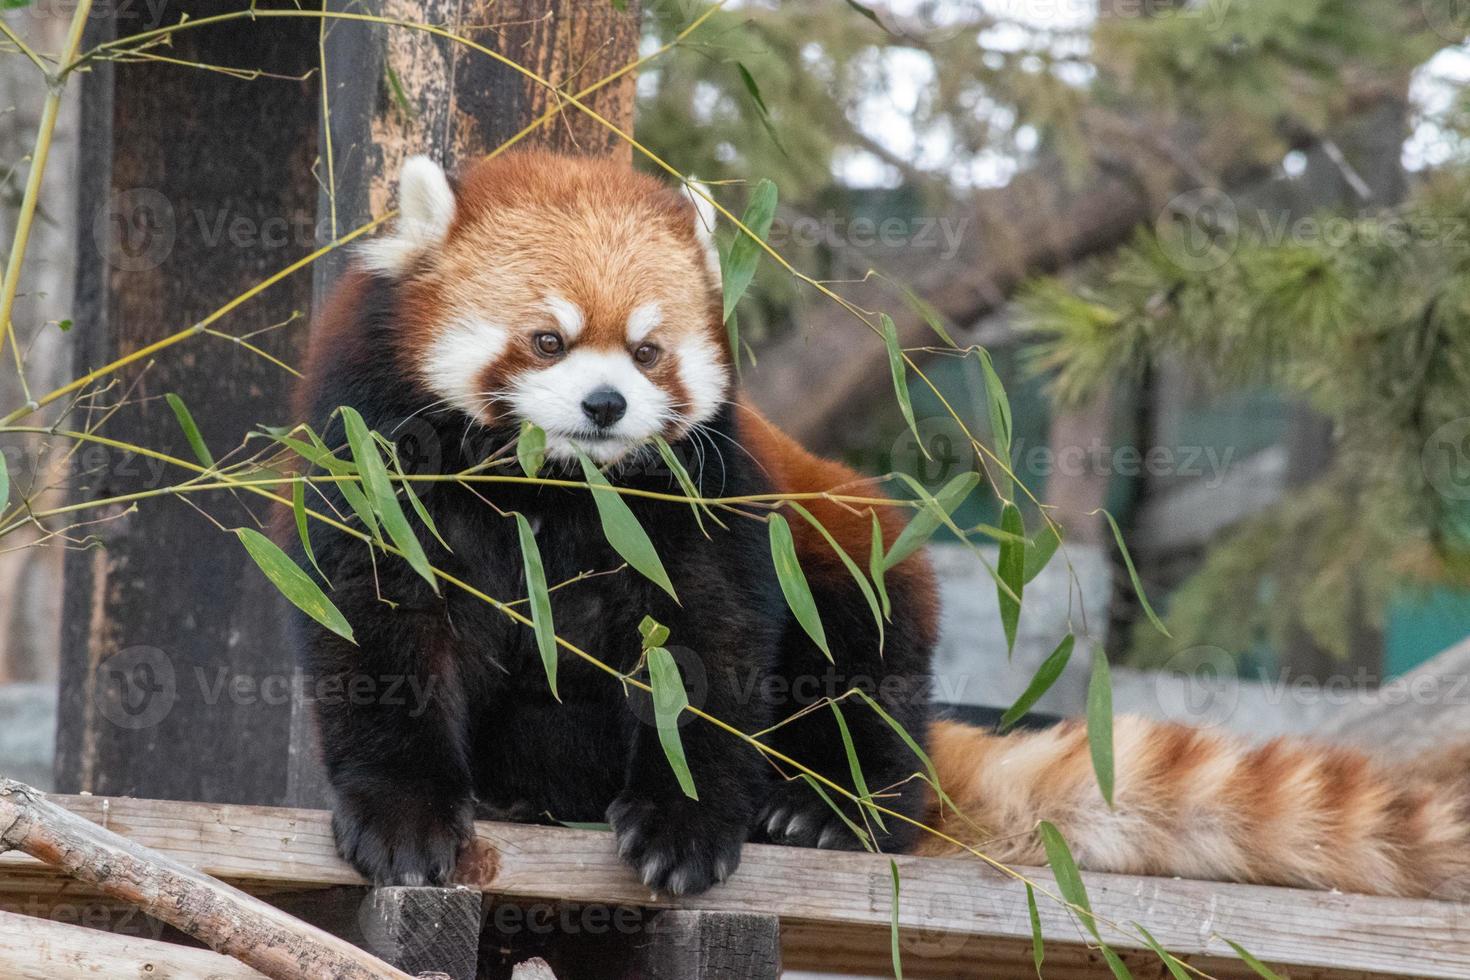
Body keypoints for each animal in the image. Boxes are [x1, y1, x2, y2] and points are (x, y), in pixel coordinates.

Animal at [292, 149, 1464, 899]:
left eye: (650, 350)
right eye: (547, 338)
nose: (607, 405)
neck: (551, 490)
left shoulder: (711, 491)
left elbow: (709, 648)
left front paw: (685, 818)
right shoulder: (375, 458)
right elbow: (380, 638)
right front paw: (406, 816)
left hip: (862, 572)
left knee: (864, 662)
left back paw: (827, 807)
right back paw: (530, 797)